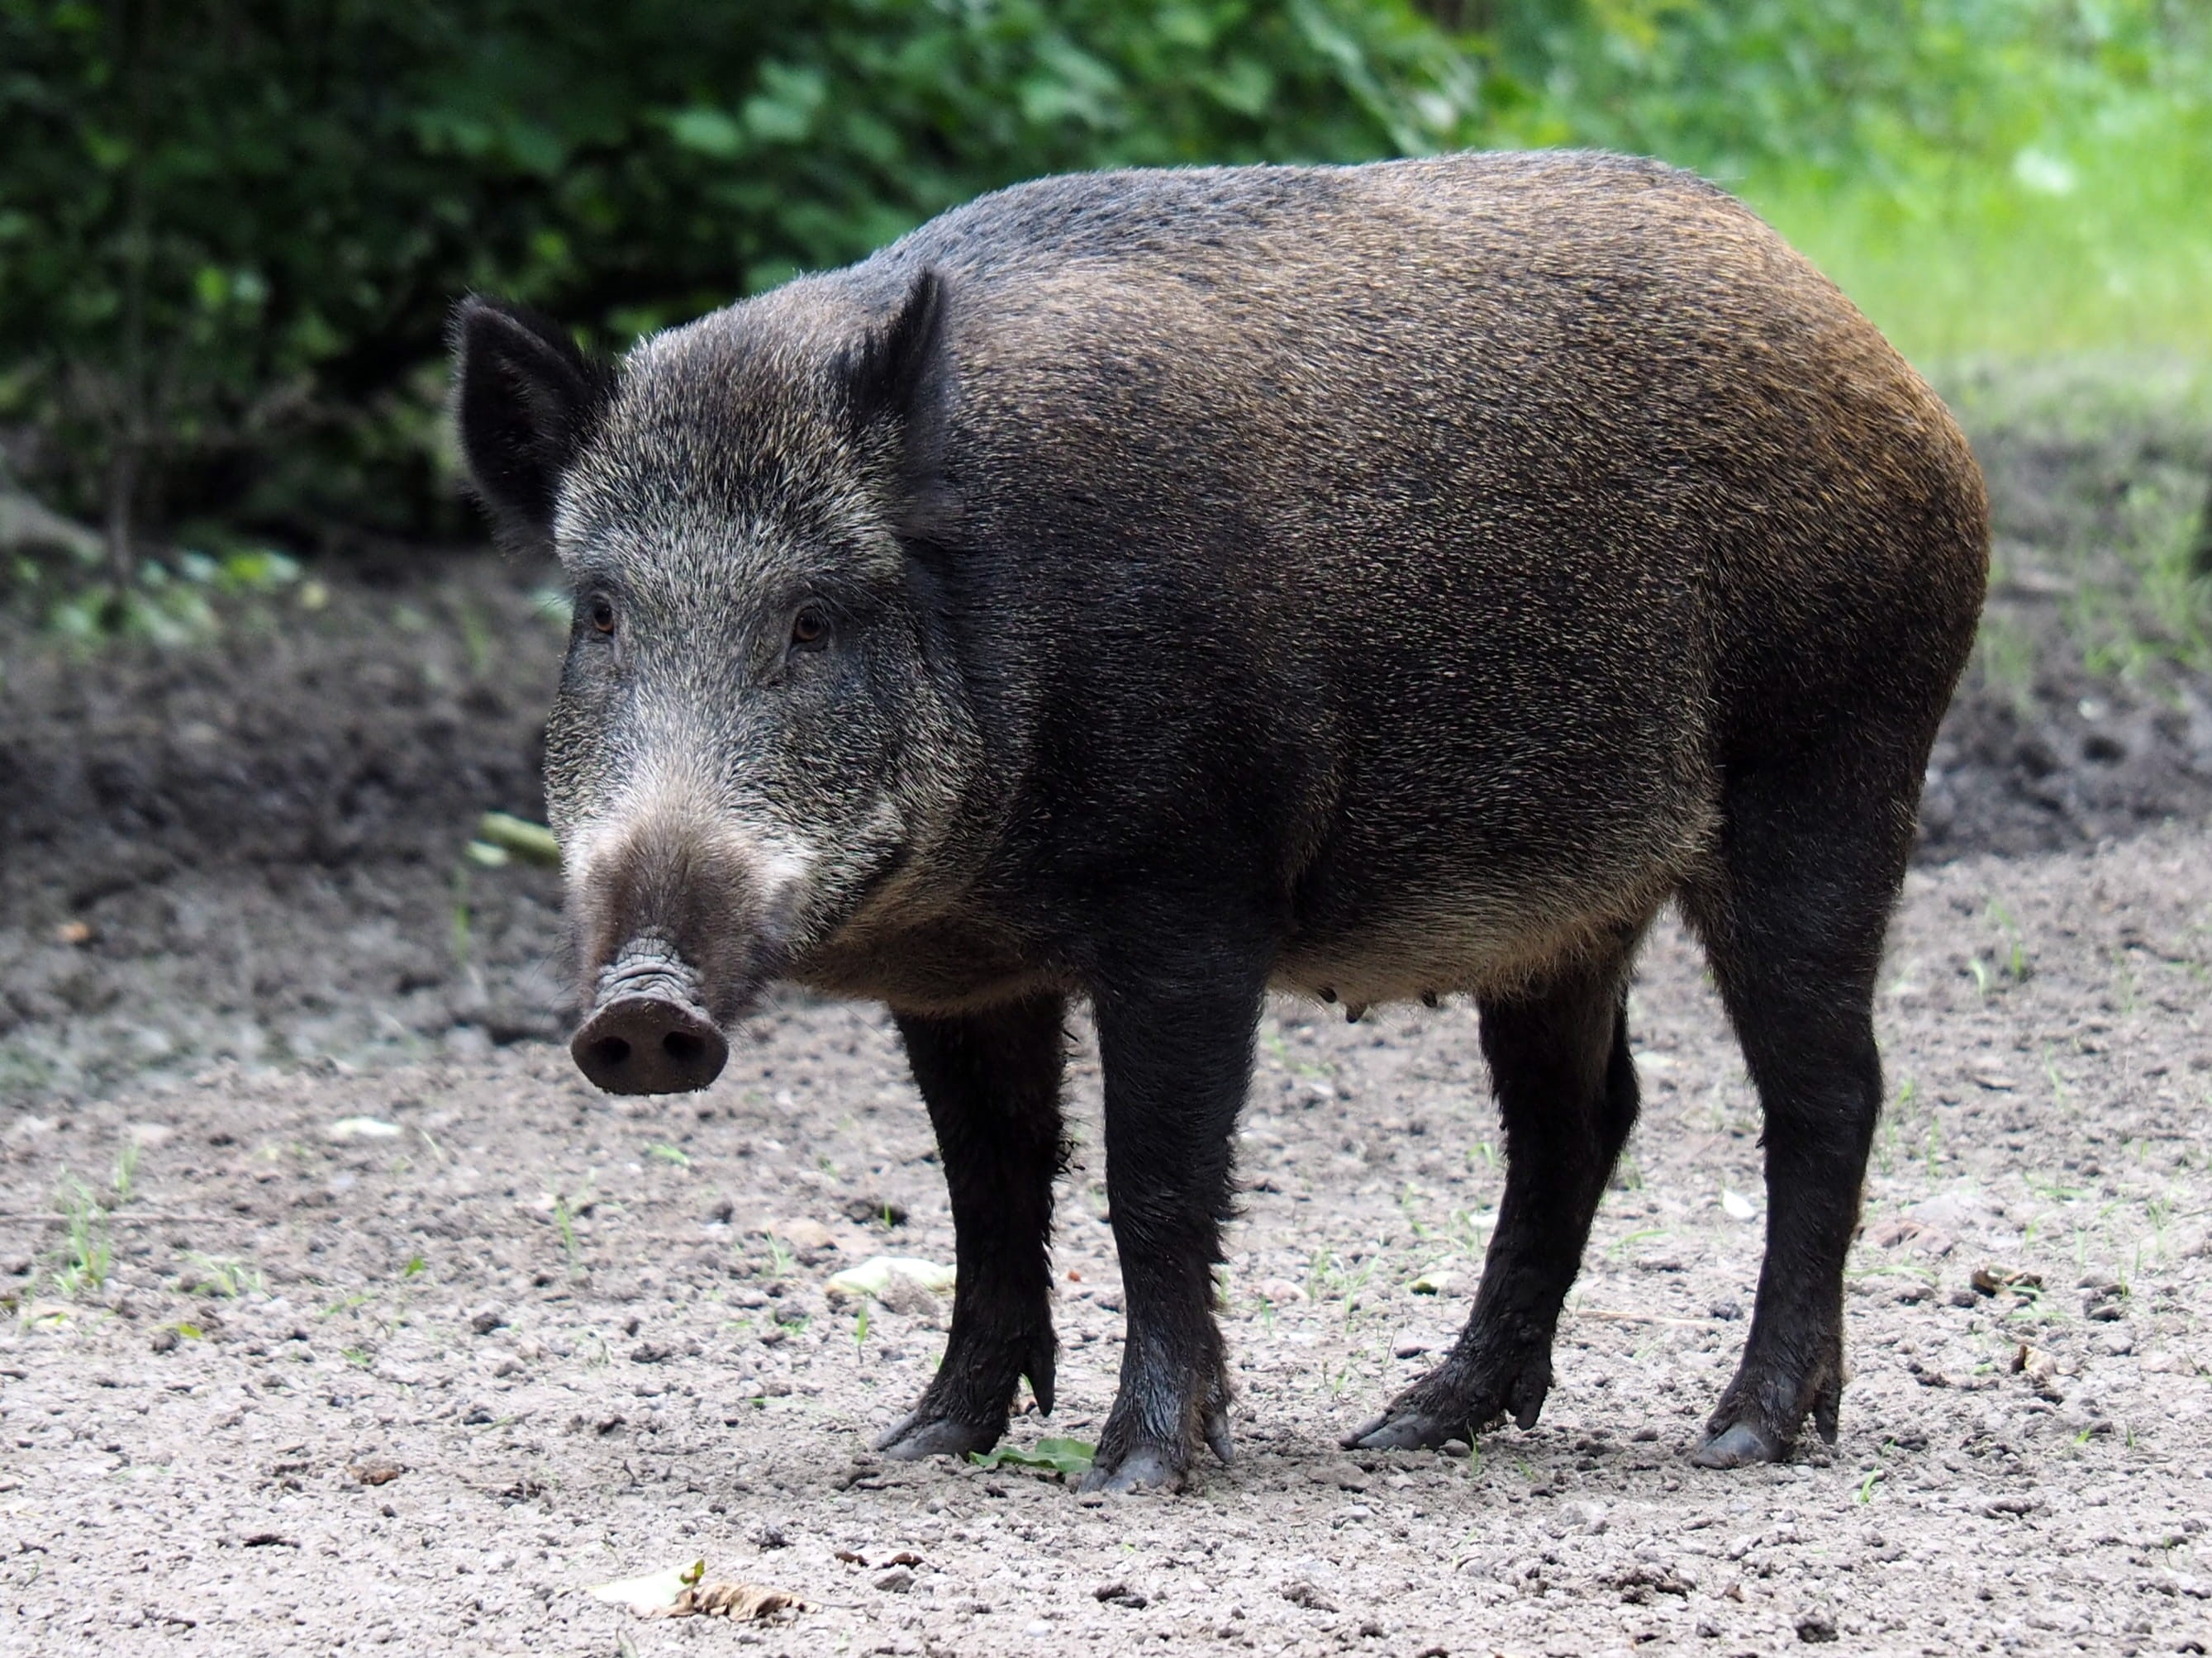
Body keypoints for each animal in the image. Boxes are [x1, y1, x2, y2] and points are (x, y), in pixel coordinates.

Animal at [451, 149, 1988, 1493]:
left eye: (815, 619)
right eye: (602, 613)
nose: (642, 1008)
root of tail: (1891, 375)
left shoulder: (1195, 895)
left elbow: (1158, 1176)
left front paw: (1138, 1469)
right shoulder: (958, 975)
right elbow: (988, 1183)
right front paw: (921, 1443)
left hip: (1832, 770)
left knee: (1826, 1093)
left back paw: (1742, 1434)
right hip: (1567, 904)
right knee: (1580, 1116)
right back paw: (1414, 1422)